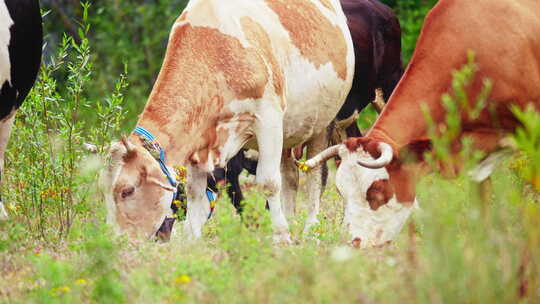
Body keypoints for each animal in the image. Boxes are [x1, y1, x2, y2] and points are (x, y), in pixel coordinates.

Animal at [102, 0, 354, 243]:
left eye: (127, 190)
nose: (118, 242)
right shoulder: (200, 137)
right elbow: (195, 191)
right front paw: (192, 240)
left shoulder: (268, 119)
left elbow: (269, 182)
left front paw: (281, 237)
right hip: (291, 129)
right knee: (290, 176)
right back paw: (291, 221)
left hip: (323, 122)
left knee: (315, 177)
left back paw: (311, 231)